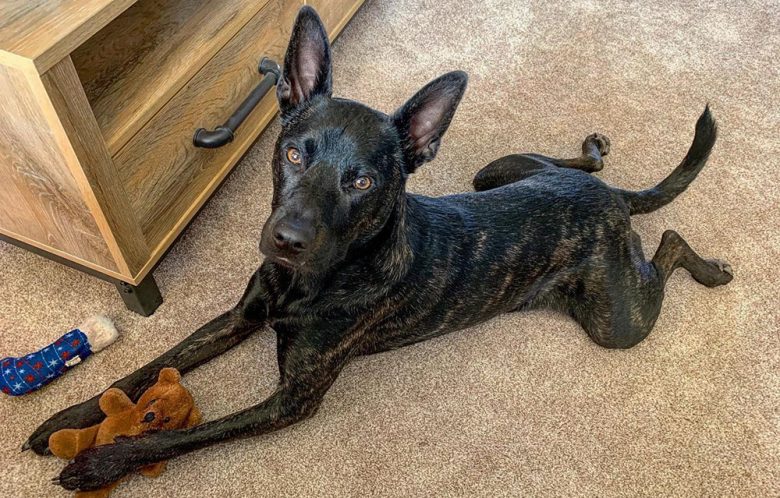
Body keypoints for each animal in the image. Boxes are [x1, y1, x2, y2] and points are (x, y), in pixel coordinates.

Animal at [33, 5, 736, 492]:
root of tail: (610, 200)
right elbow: (145, 369)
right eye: (293, 153)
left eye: (362, 181)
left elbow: (180, 439)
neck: (313, 279)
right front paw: (60, 421)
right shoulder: (238, 317)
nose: (285, 241)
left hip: (616, 321)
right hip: (498, 172)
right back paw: (591, 152)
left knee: (668, 244)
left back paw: (708, 266)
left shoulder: (291, 403)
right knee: (580, 171)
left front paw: (102, 461)